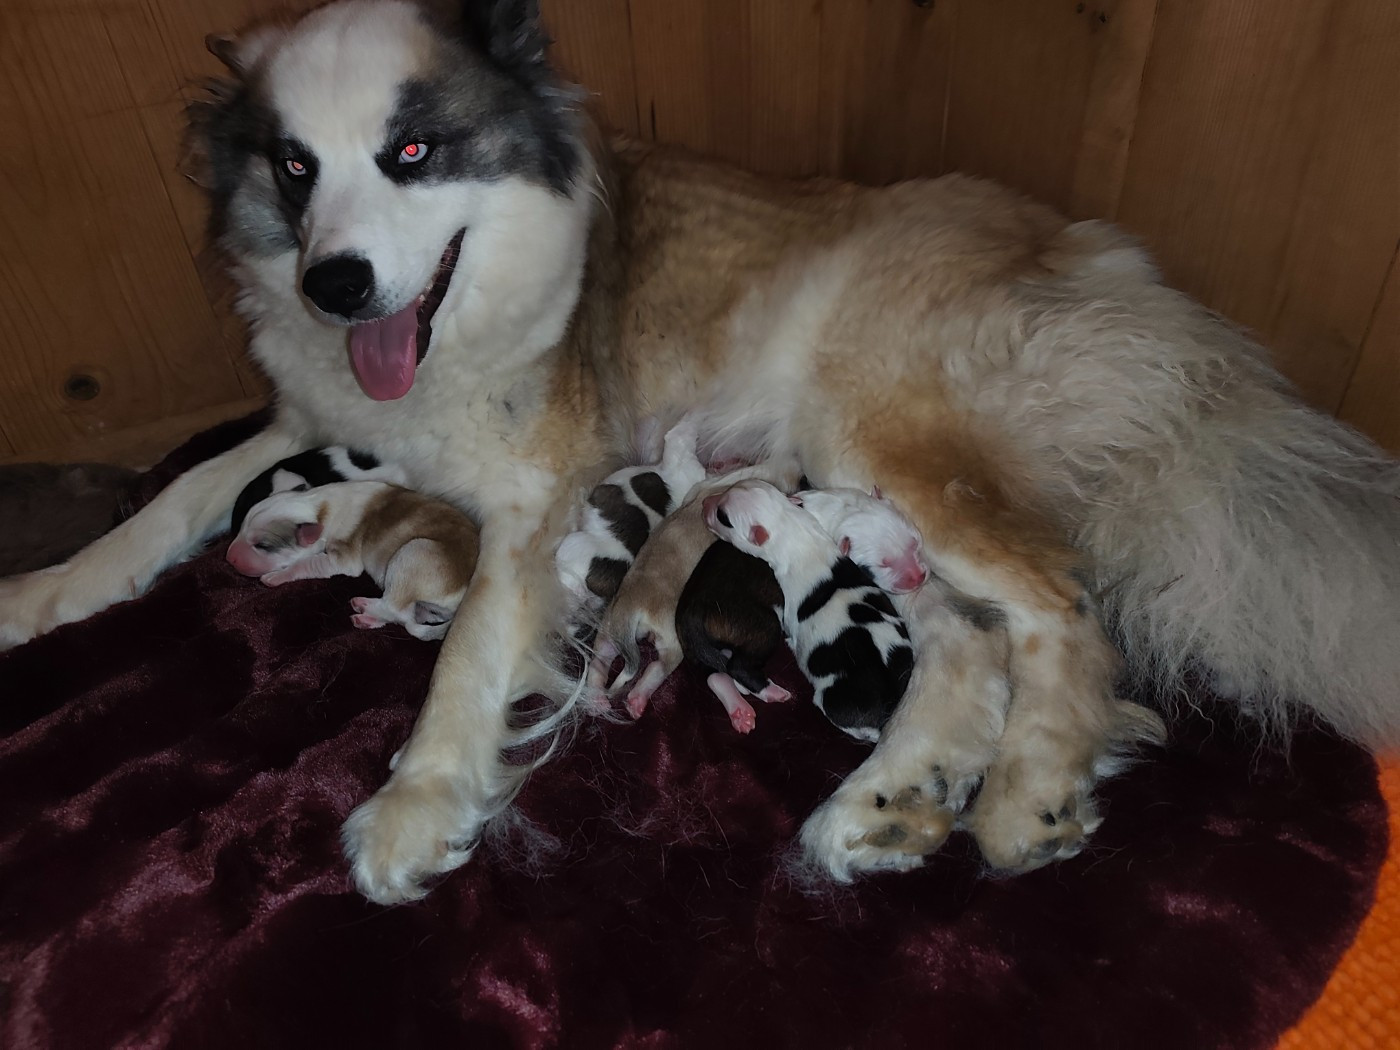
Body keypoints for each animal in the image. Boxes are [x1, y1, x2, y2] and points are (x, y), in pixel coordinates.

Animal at [2, 0, 1397, 902]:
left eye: (413, 151)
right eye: (292, 168)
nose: (335, 285)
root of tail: (1093, 259)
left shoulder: (533, 504)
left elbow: (464, 653)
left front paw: (414, 805)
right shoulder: (308, 426)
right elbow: (177, 495)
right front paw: (48, 589)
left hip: (876, 438)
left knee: (1055, 607)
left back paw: (1024, 799)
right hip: (865, 508)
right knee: (965, 642)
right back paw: (885, 808)